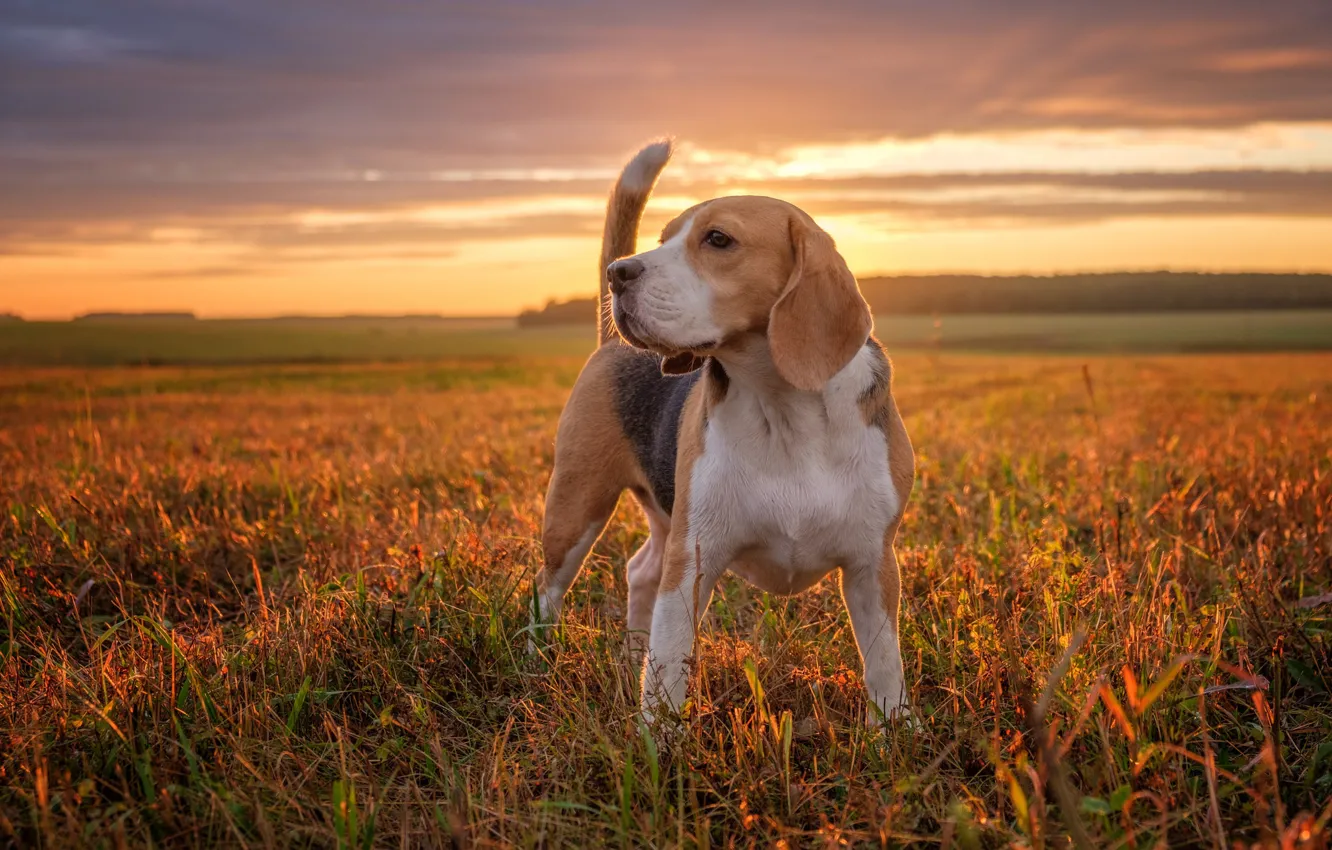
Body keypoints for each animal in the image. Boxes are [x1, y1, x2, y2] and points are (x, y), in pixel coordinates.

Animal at [530, 139, 916, 724]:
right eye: (663, 239)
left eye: (718, 239)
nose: (619, 273)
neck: (783, 408)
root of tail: (611, 343)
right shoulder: (693, 560)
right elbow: (669, 667)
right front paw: (657, 741)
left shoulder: (874, 563)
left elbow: (884, 663)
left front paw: (894, 731)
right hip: (576, 507)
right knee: (548, 592)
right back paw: (532, 662)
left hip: (663, 514)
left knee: (640, 570)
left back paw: (631, 655)